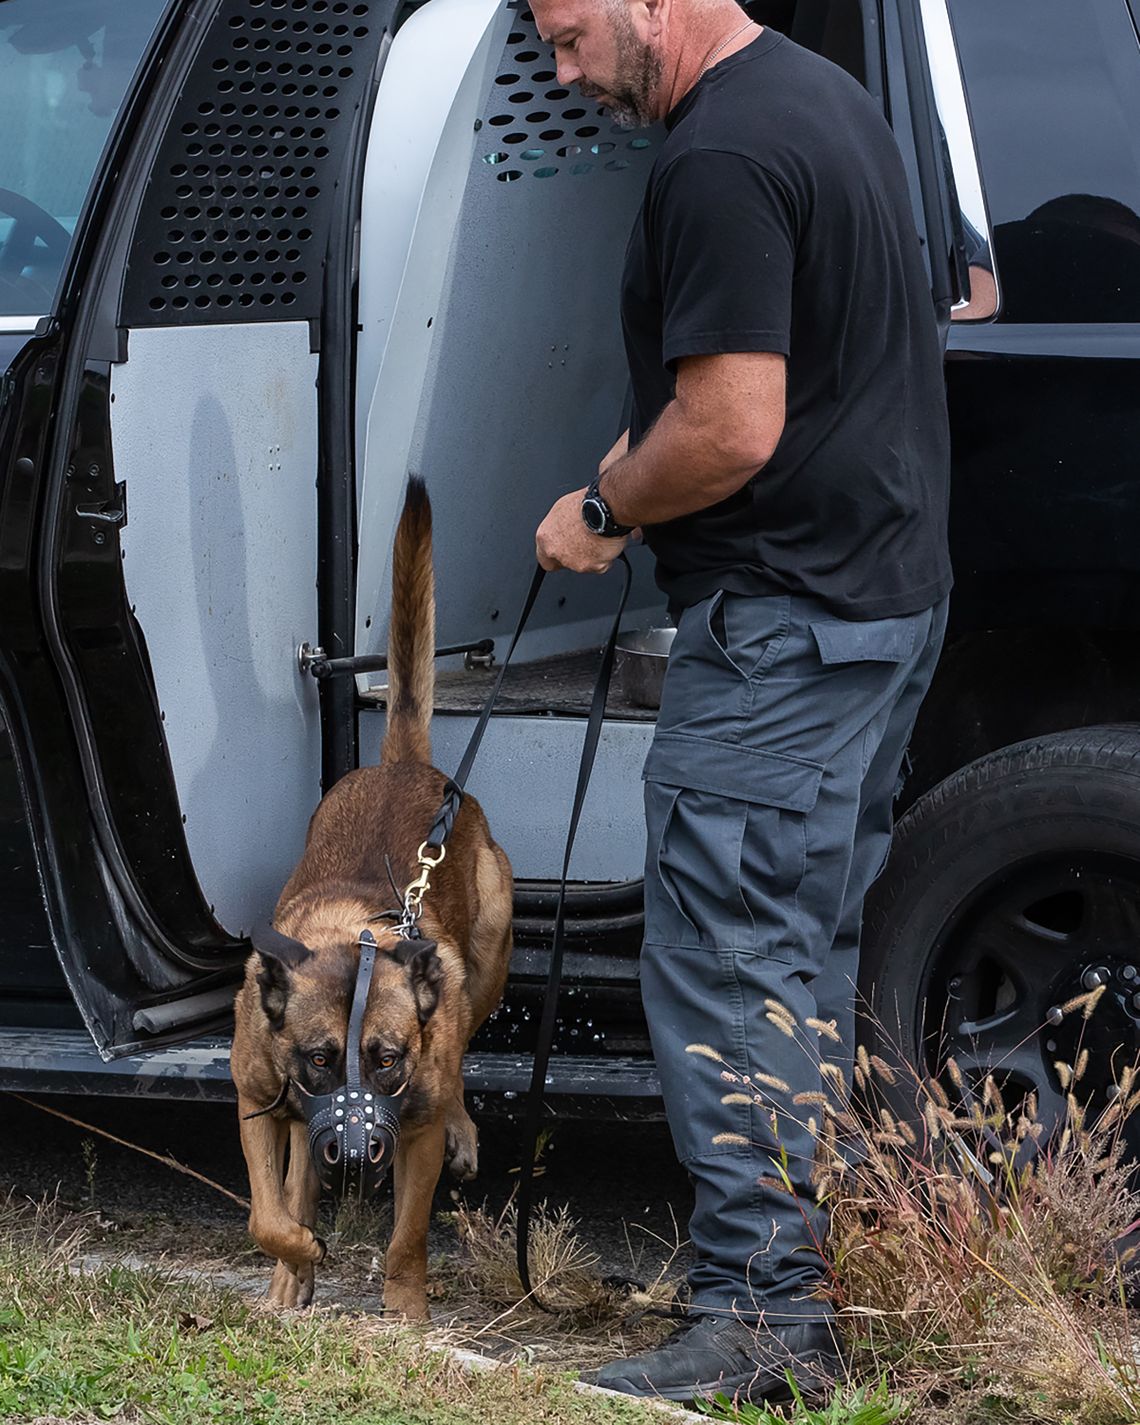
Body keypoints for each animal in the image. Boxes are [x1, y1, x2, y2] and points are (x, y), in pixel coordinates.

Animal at [230, 484, 513, 1316]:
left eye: (386, 1060)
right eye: (321, 1057)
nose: (356, 1153)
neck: (350, 939)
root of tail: (403, 762)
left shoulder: (411, 1129)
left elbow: (407, 1236)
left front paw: (406, 1314)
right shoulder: (255, 1098)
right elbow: (268, 1211)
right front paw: (296, 1254)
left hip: (487, 960)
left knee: (462, 1055)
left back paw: (460, 1127)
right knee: (295, 1171)